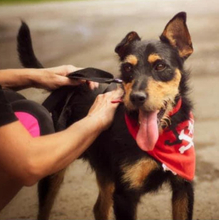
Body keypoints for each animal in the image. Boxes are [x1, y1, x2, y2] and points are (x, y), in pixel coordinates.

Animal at [16, 11, 195, 220]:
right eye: (127, 68)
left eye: (160, 66)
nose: (136, 98)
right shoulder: (125, 195)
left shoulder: (183, 187)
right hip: (54, 169)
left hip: (105, 170)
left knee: (99, 208)